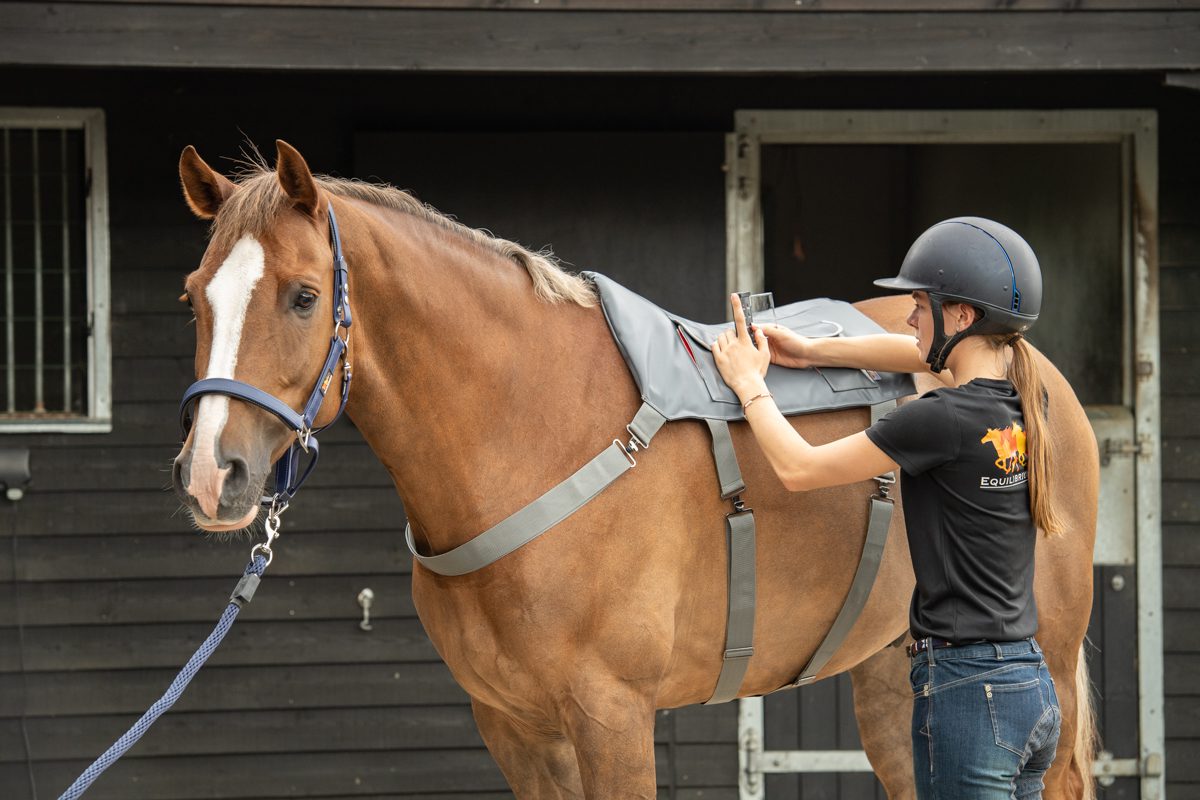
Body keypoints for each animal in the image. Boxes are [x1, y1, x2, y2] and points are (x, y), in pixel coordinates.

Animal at [171, 140, 1098, 799]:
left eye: (302, 296)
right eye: (192, 297)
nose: (213, 475)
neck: (532, 427)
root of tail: (1036, 375)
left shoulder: (610, 715)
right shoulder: (515, 727)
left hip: (1042, 663)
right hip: (892, 679)